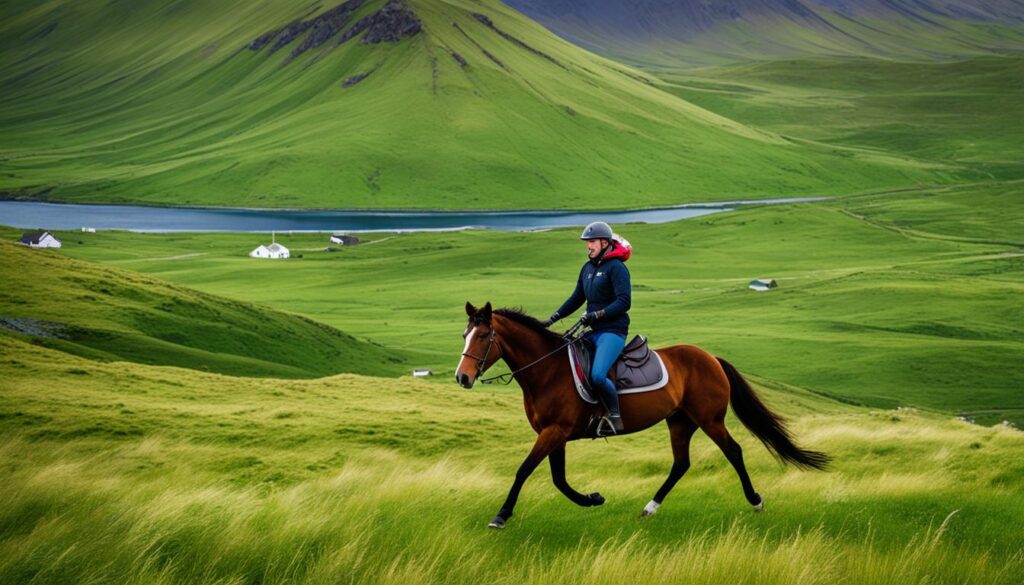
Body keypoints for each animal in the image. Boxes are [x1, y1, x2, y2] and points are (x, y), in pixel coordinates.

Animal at [455, 302, 830, 529]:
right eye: (465, 334)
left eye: (484, 335)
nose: (462, 378)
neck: (548, 370)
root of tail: (710, 358)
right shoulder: (553, 434)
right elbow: (558, 479)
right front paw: (593, 499)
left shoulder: (555, 432)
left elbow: (524, 471)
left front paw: (501, 515)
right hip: (679, 421)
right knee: (681, 464)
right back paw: (650, 508)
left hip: (709, 420)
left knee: (733, 451)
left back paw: (755, 501)